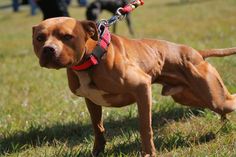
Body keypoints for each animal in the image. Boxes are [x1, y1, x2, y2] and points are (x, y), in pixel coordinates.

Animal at [31, 16, 236, 156]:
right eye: (40, 38)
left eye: (67, 36)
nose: (48, 49)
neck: (92, 57)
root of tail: (197, 52)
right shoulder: (91, 101)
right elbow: (98, 127)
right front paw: (98, 151)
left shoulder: (142, 87)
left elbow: (145, 126)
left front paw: (149, 153)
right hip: (189, 97)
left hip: (216, 98)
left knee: (231, 100)